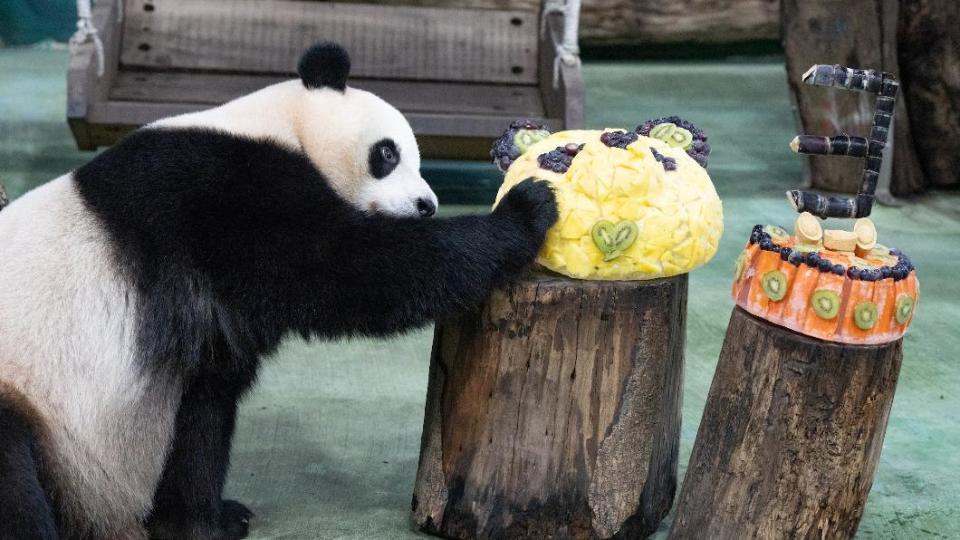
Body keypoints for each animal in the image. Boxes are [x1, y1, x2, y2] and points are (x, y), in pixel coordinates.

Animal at [0, 43, 556, 540]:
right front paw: (526, 211)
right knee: (14, 478)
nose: (426, 206)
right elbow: (349, 268)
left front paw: (208, 521)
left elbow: (203, 410)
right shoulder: (222, 194)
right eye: (387, 153)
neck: (279, 125)